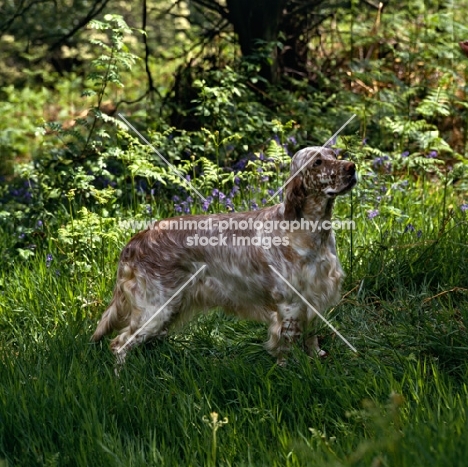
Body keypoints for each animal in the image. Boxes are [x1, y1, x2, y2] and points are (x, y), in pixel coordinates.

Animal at [93, 146, 358, 366]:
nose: (352, 167)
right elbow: (286, 347)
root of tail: (136, 241)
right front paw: (290, 370)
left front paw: (316, 358)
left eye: (335, 154)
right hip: (156, 309)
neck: (310, 231)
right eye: (317, 162)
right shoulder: (290, 304)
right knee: (119, 345)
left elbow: (311, 338)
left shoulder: (314, 296)